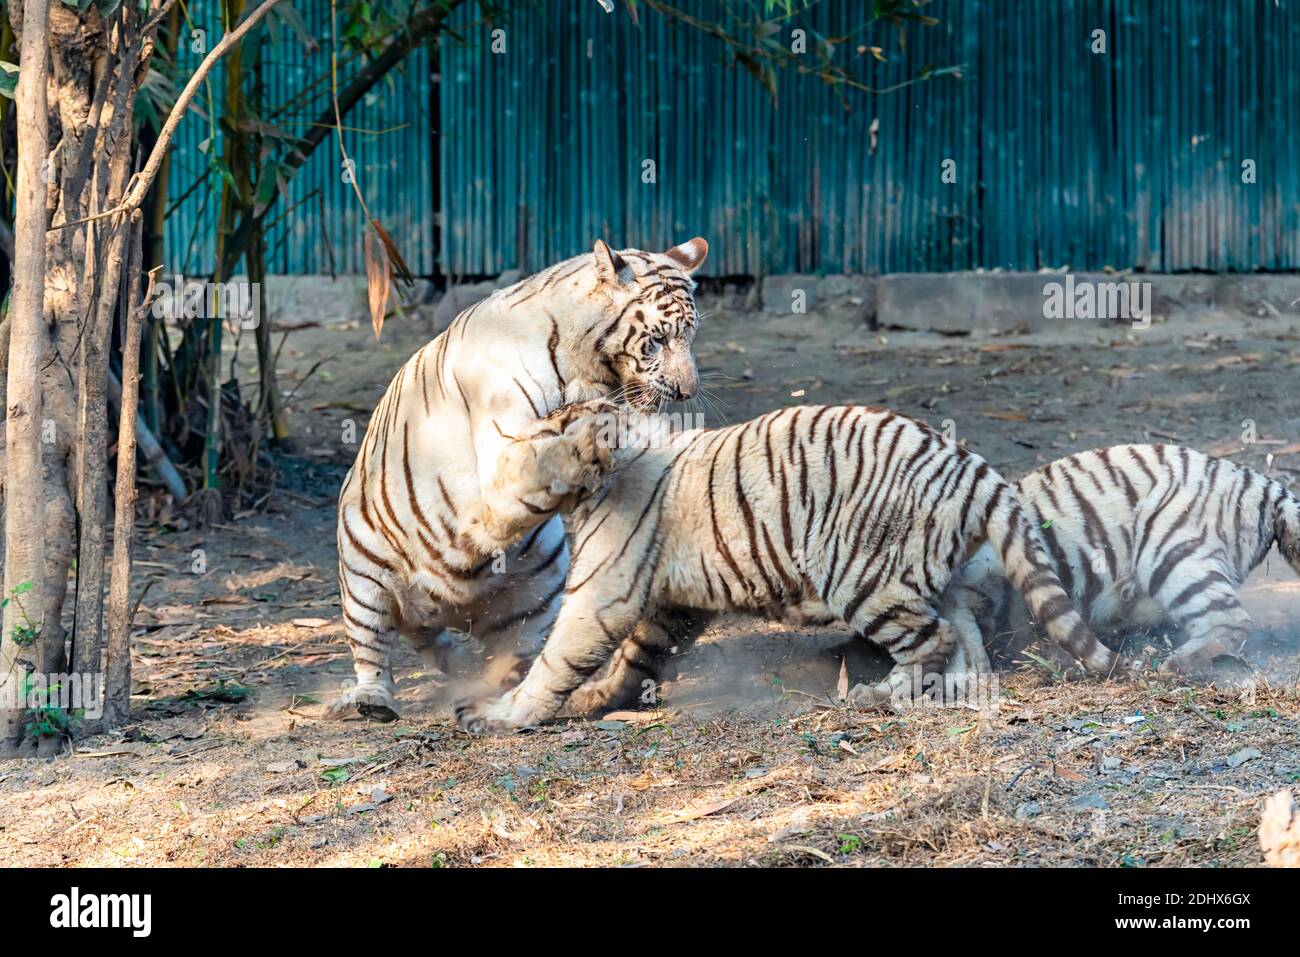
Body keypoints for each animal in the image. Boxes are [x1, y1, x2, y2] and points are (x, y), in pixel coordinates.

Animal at [327, 237, 709, 721]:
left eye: (690, 337)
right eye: (655, 342)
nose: (686, 392)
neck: (586, 368)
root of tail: (434, 611)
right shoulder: (500, 456)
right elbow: (544, 452)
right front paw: (595, 434)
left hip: (541, 586)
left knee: (508, 652)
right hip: (363, 577)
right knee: (372, 652)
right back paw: (372, 701)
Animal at [454, 404, 1123, 732]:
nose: (482, 507)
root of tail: (966, 461)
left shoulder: (602, 594)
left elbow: (556, 660)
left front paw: (503, 715)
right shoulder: (673, 601)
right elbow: (640, 652)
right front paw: (607, 697)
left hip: (859, 574)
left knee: (934, 638)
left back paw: (880, 695)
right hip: (933, 573)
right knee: (968, 640)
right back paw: (954, 692)